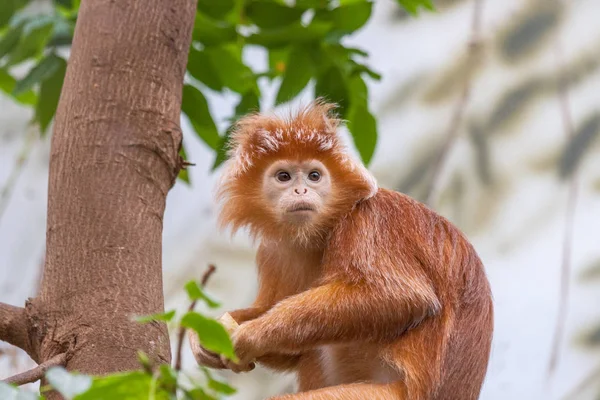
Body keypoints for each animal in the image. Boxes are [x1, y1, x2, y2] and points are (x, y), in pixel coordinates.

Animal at [190, 101, 494, 400]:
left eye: (314, 176)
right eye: (283, 176)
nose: (301, 190)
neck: (322, 232)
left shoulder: (366, 220)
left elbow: (401, 297)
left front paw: (249, 335)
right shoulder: (274, 252)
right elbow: (290, 350)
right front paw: (206, 333)